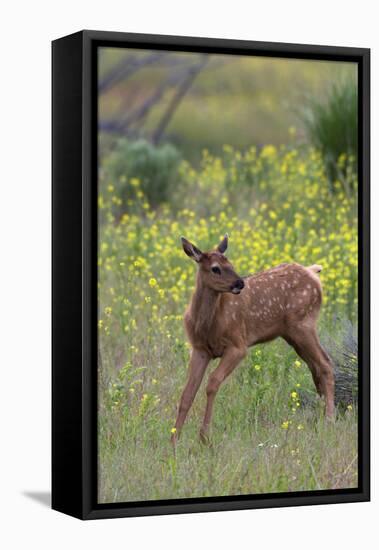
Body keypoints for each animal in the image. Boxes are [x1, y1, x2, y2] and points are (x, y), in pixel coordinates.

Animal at [172, 235, 336, 446]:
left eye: (231, 264)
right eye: (215, 268)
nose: (240, 283)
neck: (208, 324)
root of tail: (312, 272)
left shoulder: (238, 345)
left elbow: (212, 383)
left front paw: (204, 437)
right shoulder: (200, 349)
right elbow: (187, 393)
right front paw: (174, 439)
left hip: (303, 325)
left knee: (325, 363)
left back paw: (329, 420)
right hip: (293, 334)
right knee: (315, 366)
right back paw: (320, 414)